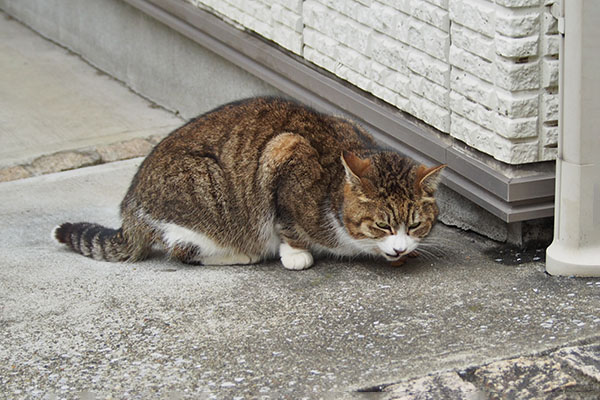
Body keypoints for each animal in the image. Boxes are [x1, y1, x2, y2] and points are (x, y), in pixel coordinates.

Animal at [52, 96, 446, 268]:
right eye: (382, 225)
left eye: (414, 225)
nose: (400, 249)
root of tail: (129, 206)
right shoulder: (283, 153)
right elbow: (285, 220)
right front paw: (296, 254)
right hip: (202, 191)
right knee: (184, 251)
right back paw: (245, 253)